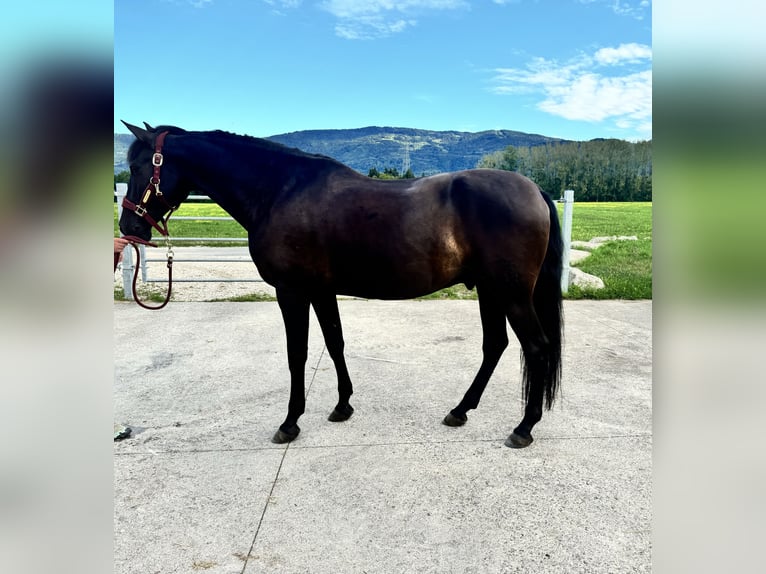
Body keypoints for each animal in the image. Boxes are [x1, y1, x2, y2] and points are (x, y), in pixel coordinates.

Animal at [120, 122, 564, 450]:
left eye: (140, 167)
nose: (130, 227)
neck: (278, 191)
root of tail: (534, 190)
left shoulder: (292, 291)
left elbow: (297, 354)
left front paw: (290, 422)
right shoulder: (321, 291)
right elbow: (335, 342)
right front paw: (343, 405)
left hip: (511, 293)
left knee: (536, 347)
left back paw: (524, 427)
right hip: (490, 290)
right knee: (496, 346)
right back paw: (460, 410)